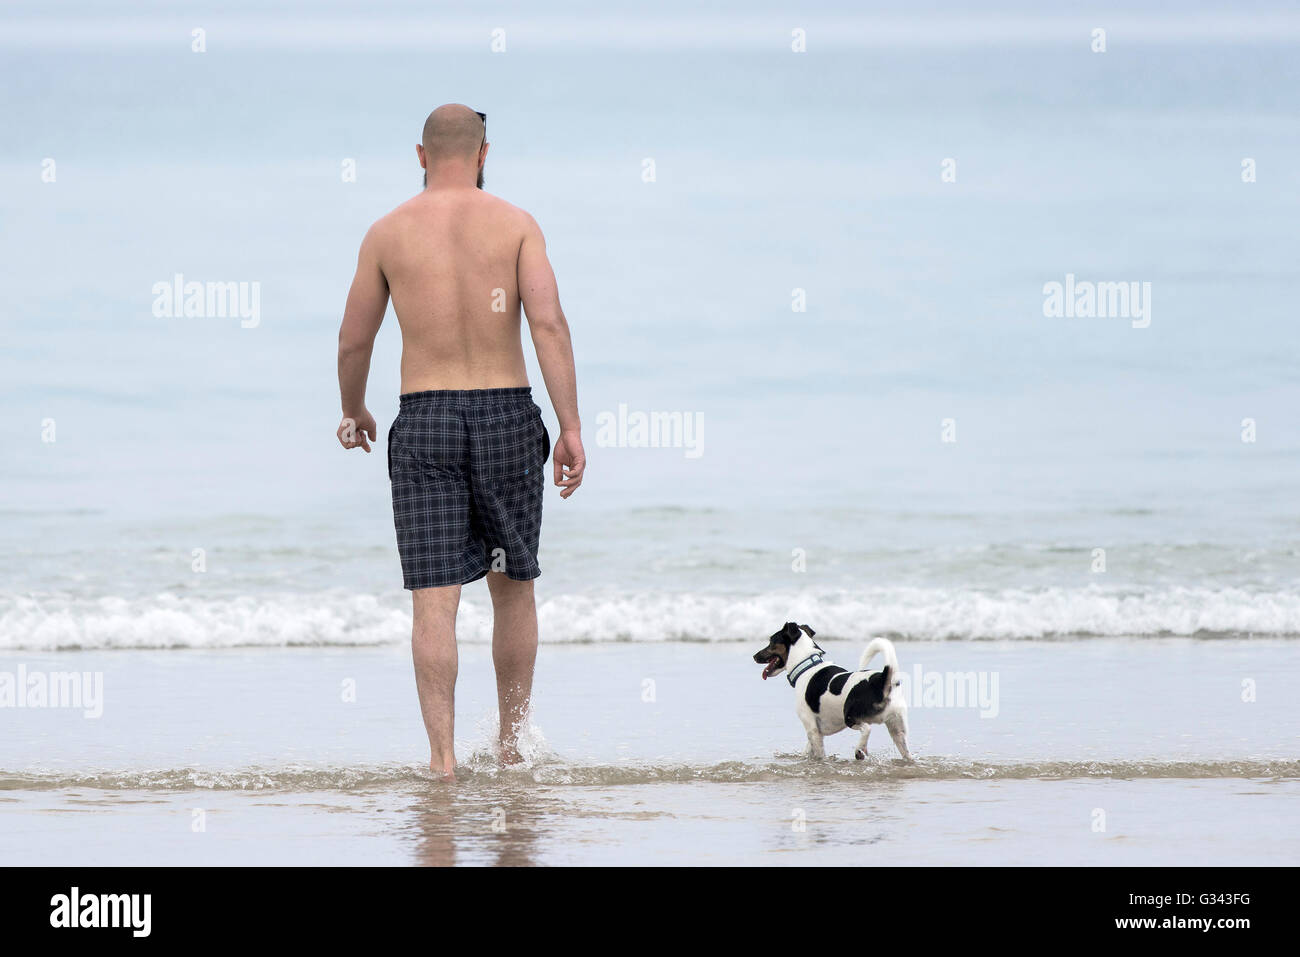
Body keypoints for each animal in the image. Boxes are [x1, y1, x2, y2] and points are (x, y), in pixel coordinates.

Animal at [759, 621, 909, 764]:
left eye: (771, 641)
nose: (755, 656)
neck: (807, 665)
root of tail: (882, 678)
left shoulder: (812, 728)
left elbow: (819, 753)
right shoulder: (817, 731)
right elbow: (808, 749)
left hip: (850, 717)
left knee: (867, 729)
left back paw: (859, 750)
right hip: (897, 728)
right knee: (905, 750)